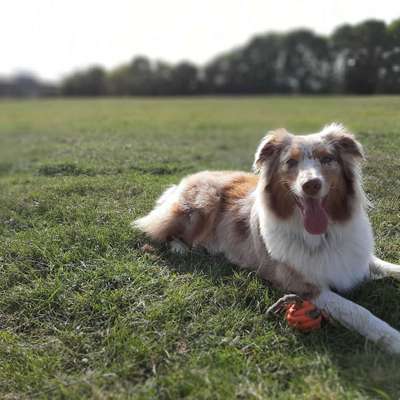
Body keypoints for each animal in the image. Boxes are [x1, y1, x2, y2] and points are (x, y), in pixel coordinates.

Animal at [134, 122, 400, 354]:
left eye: (327, 159)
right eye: (290, 162)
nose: (311, 185)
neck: (324, 235)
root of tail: (181, 183)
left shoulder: (358, 259)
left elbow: (388, 268)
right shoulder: (303, 285)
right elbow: (358, 311)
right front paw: (393, 339)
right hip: (202, 204)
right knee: (158, 230)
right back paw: (182, 248)